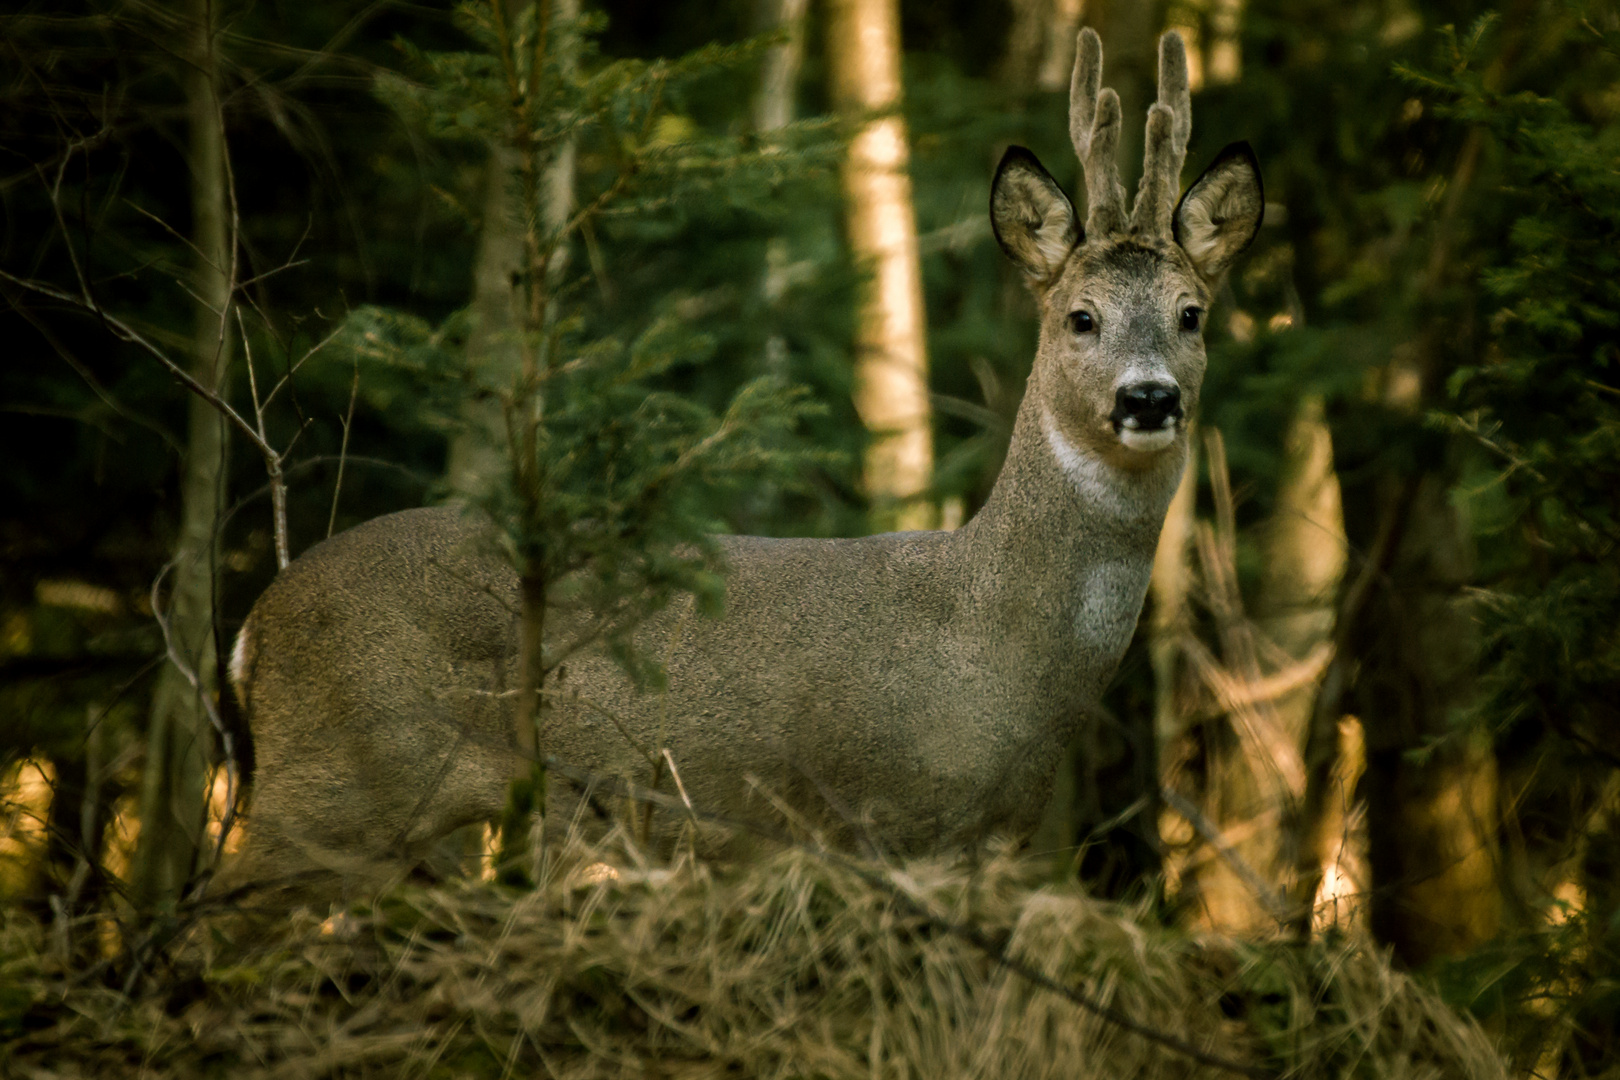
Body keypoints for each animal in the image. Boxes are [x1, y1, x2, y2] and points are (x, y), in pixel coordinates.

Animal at [228, 27, 1263, 887]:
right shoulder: (879, 823)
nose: (1148, 398)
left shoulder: (995, 843)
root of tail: (256, 627)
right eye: (1080, 317)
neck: (997, 643)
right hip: (335, 785)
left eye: (1191, 314)